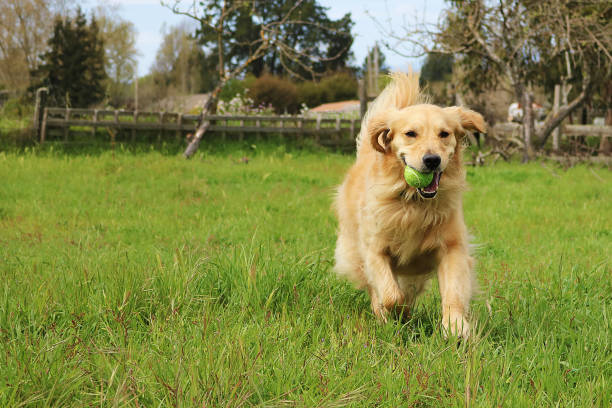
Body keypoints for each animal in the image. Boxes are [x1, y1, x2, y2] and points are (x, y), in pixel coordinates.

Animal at [332, 73, 486, 338]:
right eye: (411, 133)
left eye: (444, 134)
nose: (432, 160)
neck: (414, 203)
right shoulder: (374, 250)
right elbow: (391, 295)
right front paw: (397, 314)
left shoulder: (451, 247)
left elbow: (454, 292)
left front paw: (456, 327)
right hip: (355, 251)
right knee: (377, 288)